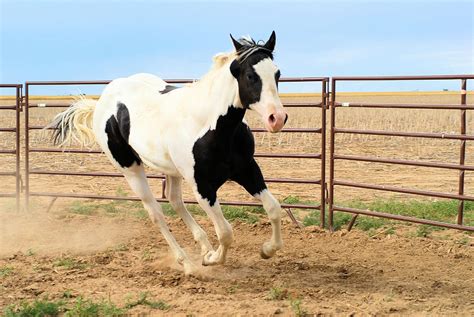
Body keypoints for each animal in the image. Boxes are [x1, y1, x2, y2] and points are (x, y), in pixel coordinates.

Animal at [51, 31, 288, 274]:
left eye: (277, 73)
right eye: (251, 75)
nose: (277, 118)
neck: (211, 126)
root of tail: (102, 101)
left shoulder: (247, 169)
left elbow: (274, 208)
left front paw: (267, 250)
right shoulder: (202, 187)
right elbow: (225, 232)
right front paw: (211, 259)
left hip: (171, 170)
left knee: (175, 201)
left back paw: (203, 246)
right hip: (131, 170)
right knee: (156, 213)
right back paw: (187, 262)